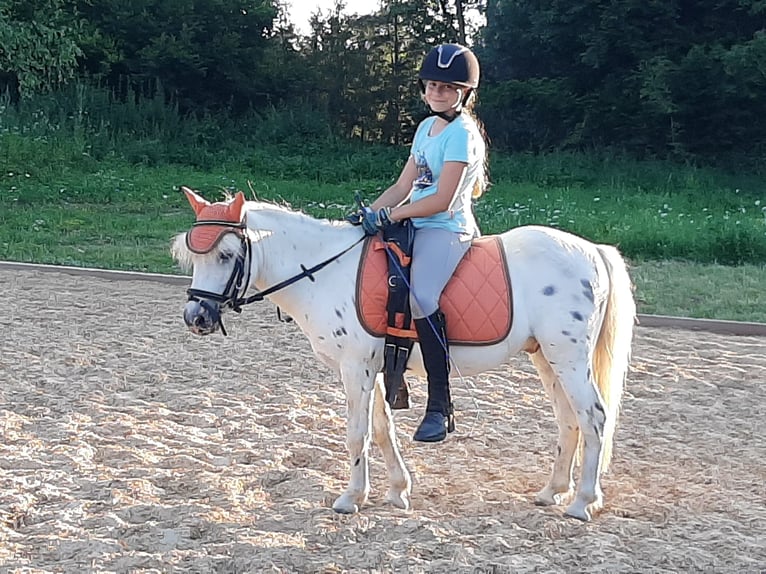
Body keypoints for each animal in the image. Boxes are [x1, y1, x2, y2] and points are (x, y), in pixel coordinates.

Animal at [172, 188, 636, 520]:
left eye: (226, 255)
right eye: (193, 257)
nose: (196, 316)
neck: (326, 270)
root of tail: (594, 250)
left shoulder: (354, 367)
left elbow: (356, 433)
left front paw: (351, 497)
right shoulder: (373, 369)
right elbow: (382, 430)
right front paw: (397, 491)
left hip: (569, 358)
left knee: (594, 418)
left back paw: (582, 502)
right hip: (547, 358)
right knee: (569, 420)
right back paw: (552, 492)